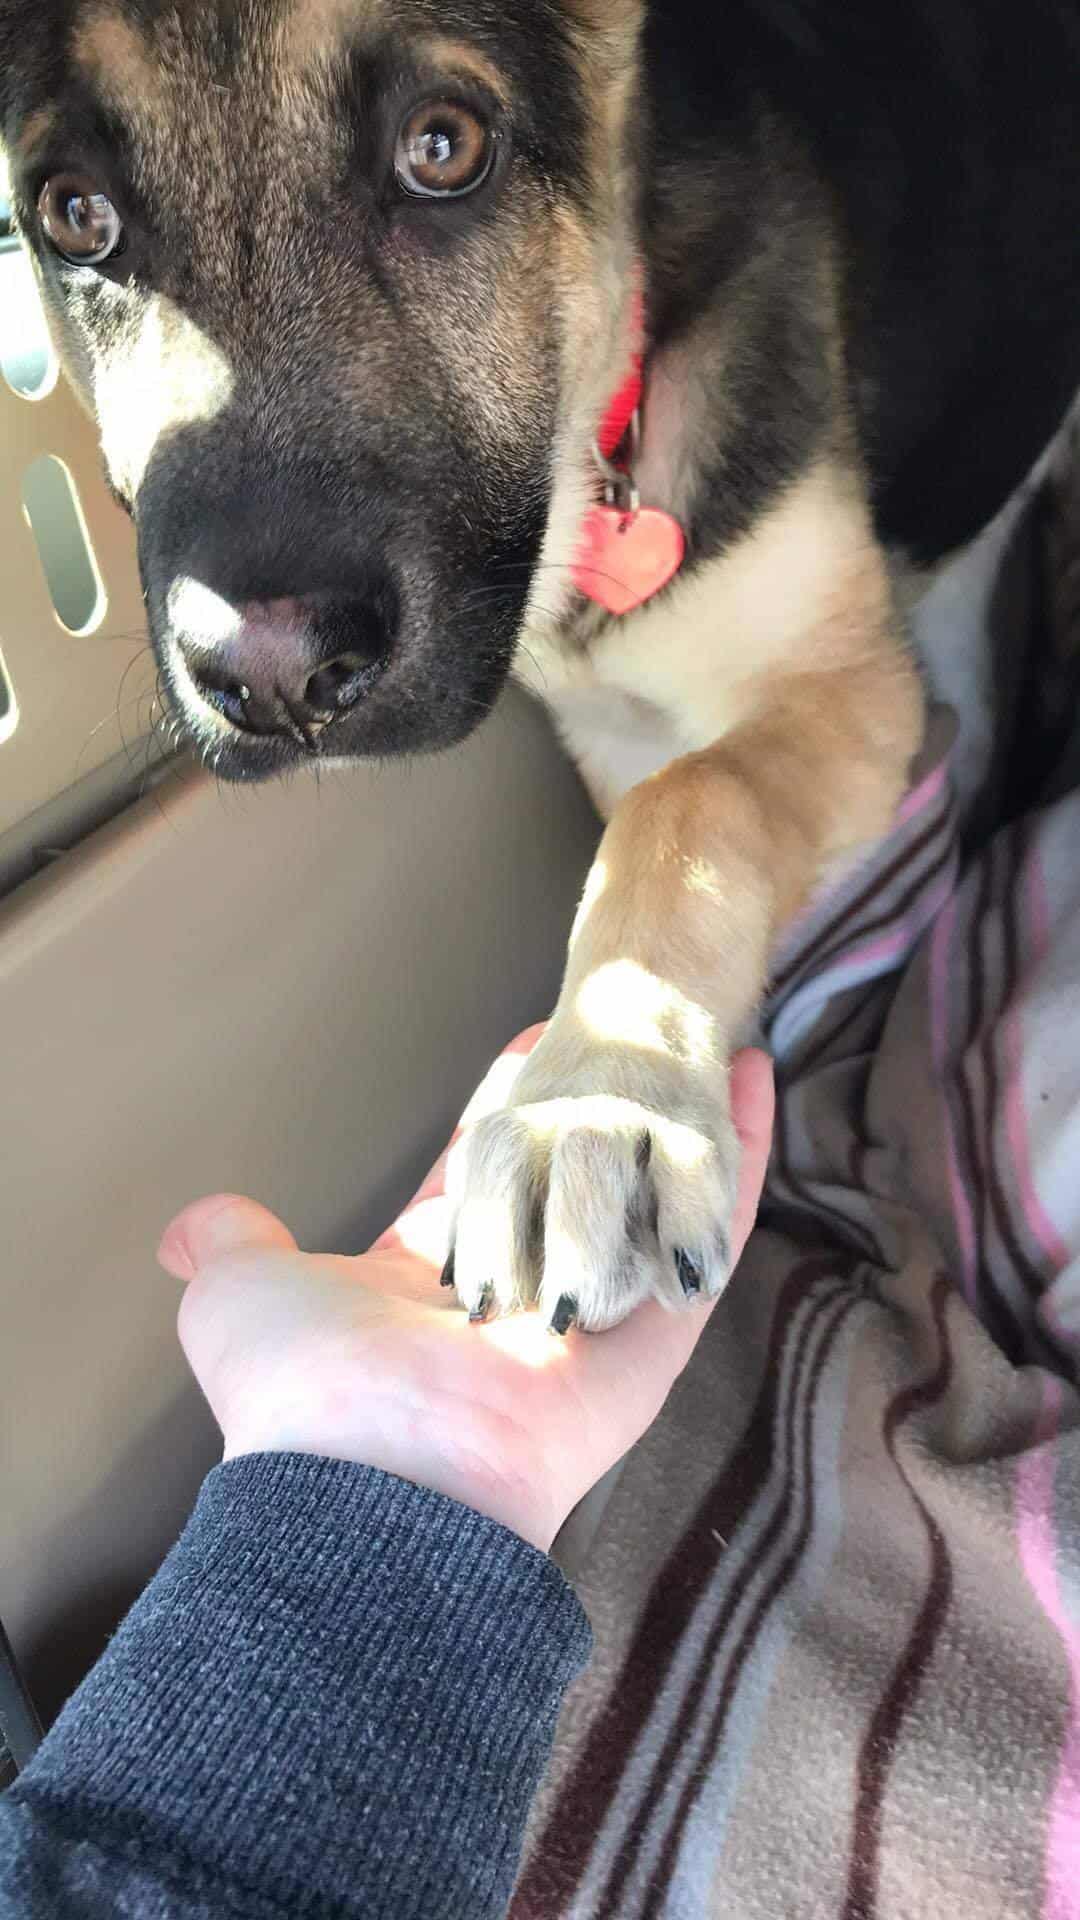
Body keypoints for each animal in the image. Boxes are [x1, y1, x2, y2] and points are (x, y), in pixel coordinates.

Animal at [2, 0, 1076, 1328]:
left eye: (444, 146)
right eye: (75, 215)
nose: (271, 679)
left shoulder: (836, 678)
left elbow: (692, 808)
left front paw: (598, 1093)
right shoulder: (620, 729)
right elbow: (658, 822)